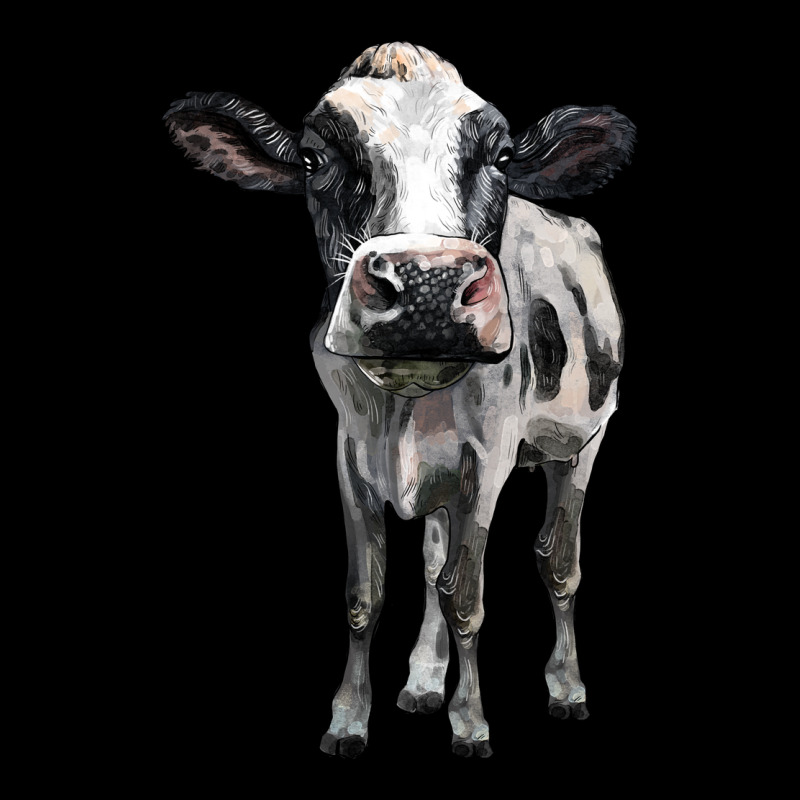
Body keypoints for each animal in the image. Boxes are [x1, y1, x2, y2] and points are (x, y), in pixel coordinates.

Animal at [164, 41, 634, 759]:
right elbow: (368, 594)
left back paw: (566, 688)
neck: (404, 409)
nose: (426, 285)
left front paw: (470, 724)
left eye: (500, 157)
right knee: (436, 560)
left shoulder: (488, 461)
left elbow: (467, 598)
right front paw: (349, 720)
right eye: (313, 158)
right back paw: (422, 683)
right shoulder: (351, 453)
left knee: (558, 562)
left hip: (582, 443)